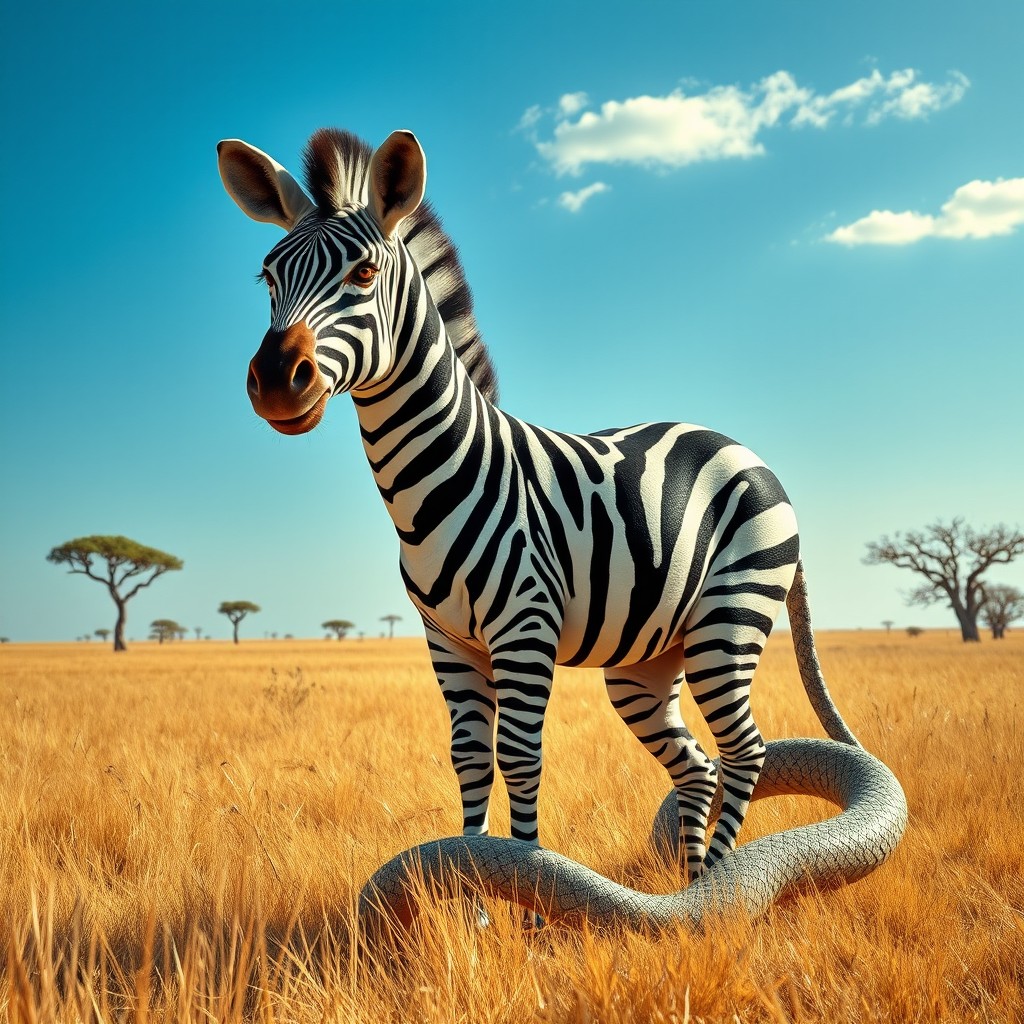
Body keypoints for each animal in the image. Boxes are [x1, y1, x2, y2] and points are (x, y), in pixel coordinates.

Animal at [217, 128, 853, 882]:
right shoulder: (448, 640)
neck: (436, 479)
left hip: (728, 620)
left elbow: (518, 759)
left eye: (364, 275)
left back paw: (725, 884)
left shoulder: (525, 626)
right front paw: (468, 892)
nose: (275, 381)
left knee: (744, 750)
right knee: (698, 764)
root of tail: (744, 450)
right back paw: (692, 885)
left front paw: (523, 887)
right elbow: (469, 760)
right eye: (268, 277)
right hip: (646, 661)